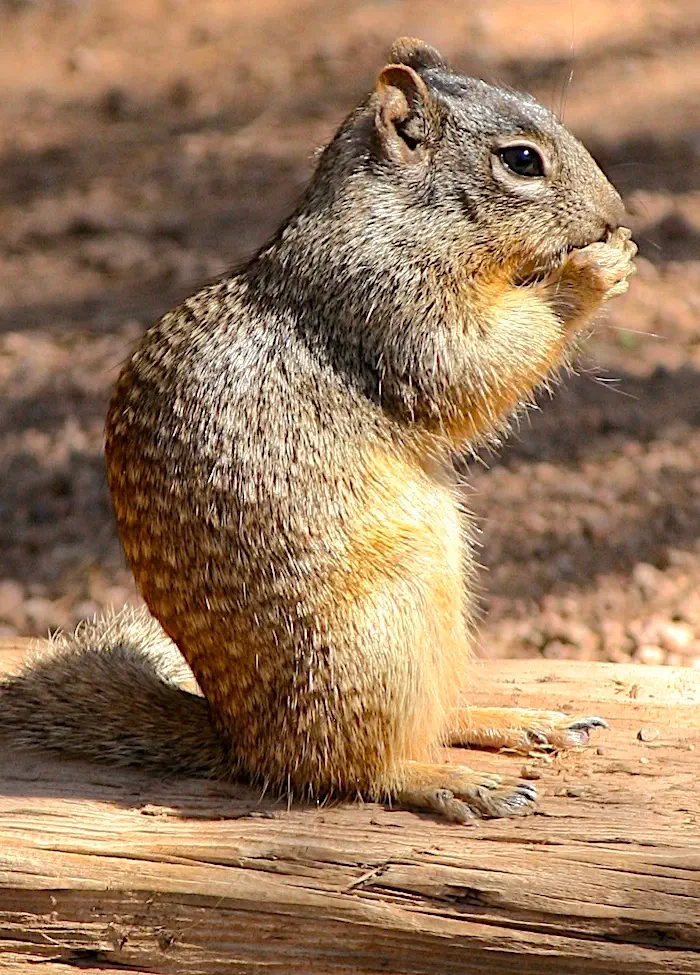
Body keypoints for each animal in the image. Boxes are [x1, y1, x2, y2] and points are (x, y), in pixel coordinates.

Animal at [0, 38, 636, 824]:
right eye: (521, 160)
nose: (616, 214)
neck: (395, 212)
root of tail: (245, 744)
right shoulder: (387, 302)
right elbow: (469, 364)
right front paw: (595, 269)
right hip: (383, 631)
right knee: (360, 768)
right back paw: (453, 781)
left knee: (431, 719)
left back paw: (515, 722)